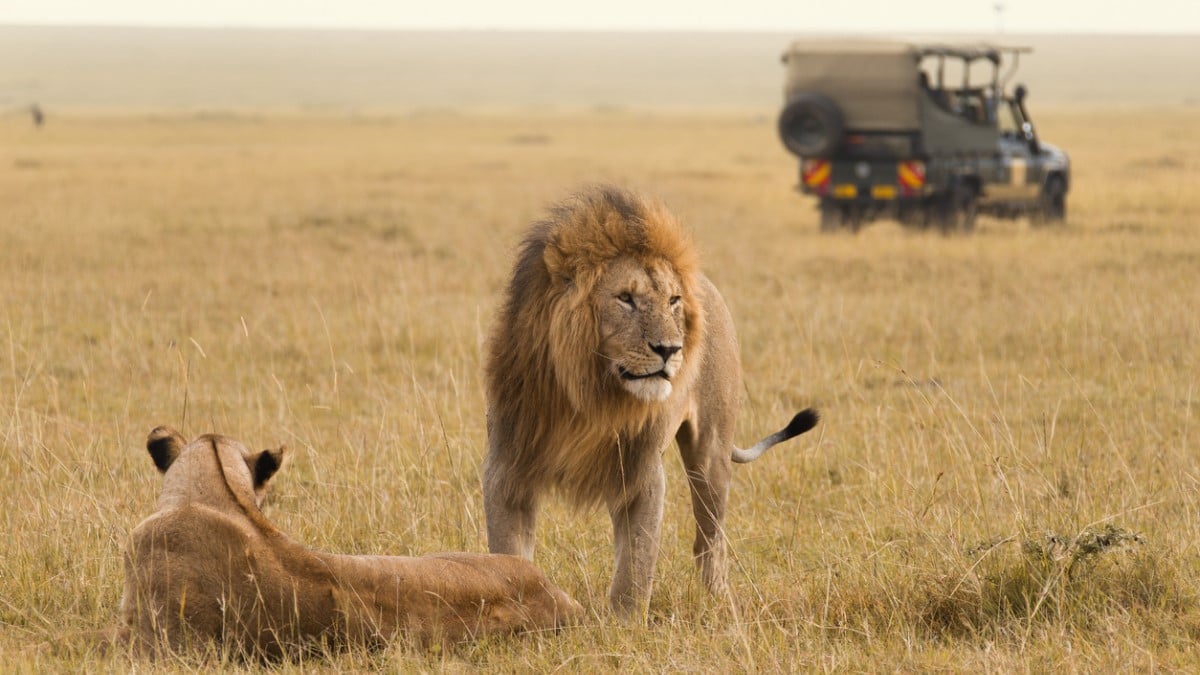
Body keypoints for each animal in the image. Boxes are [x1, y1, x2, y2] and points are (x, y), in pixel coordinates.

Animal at [482, 186, 820, 612]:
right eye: (625, 298)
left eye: (673, 301)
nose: (670, 349)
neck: (589, 395)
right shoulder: (507, 467)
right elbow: (508, 554)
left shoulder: (641, 472)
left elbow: (636, 564)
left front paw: (622, 623)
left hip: (710, 454)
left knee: (709, 538)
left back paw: (719, 601)